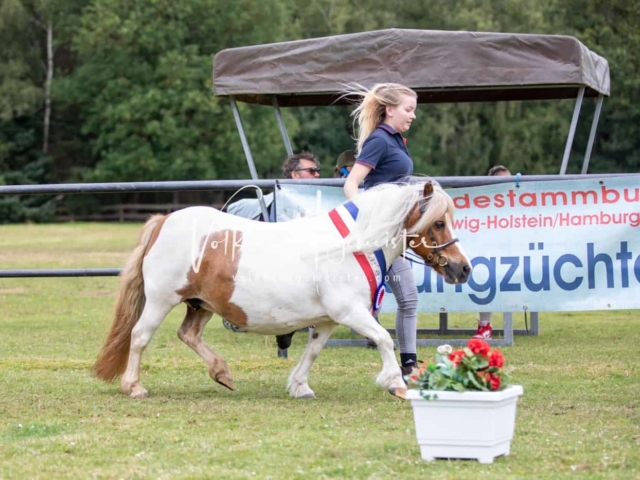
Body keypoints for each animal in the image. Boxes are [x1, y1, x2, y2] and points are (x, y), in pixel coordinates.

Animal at [96, 180, 476, 398]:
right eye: (438, 223)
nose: (464, 268)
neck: (355, 245)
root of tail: (165, 220)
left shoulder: (327, 320)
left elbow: (313, 350)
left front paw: (299, 386)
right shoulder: (350, 312)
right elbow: (384, 339)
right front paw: (395, 382)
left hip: (201, 303)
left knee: (188, 334)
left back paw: (222, 373)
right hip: (162, 300)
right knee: (140, 336)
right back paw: (134, 386)